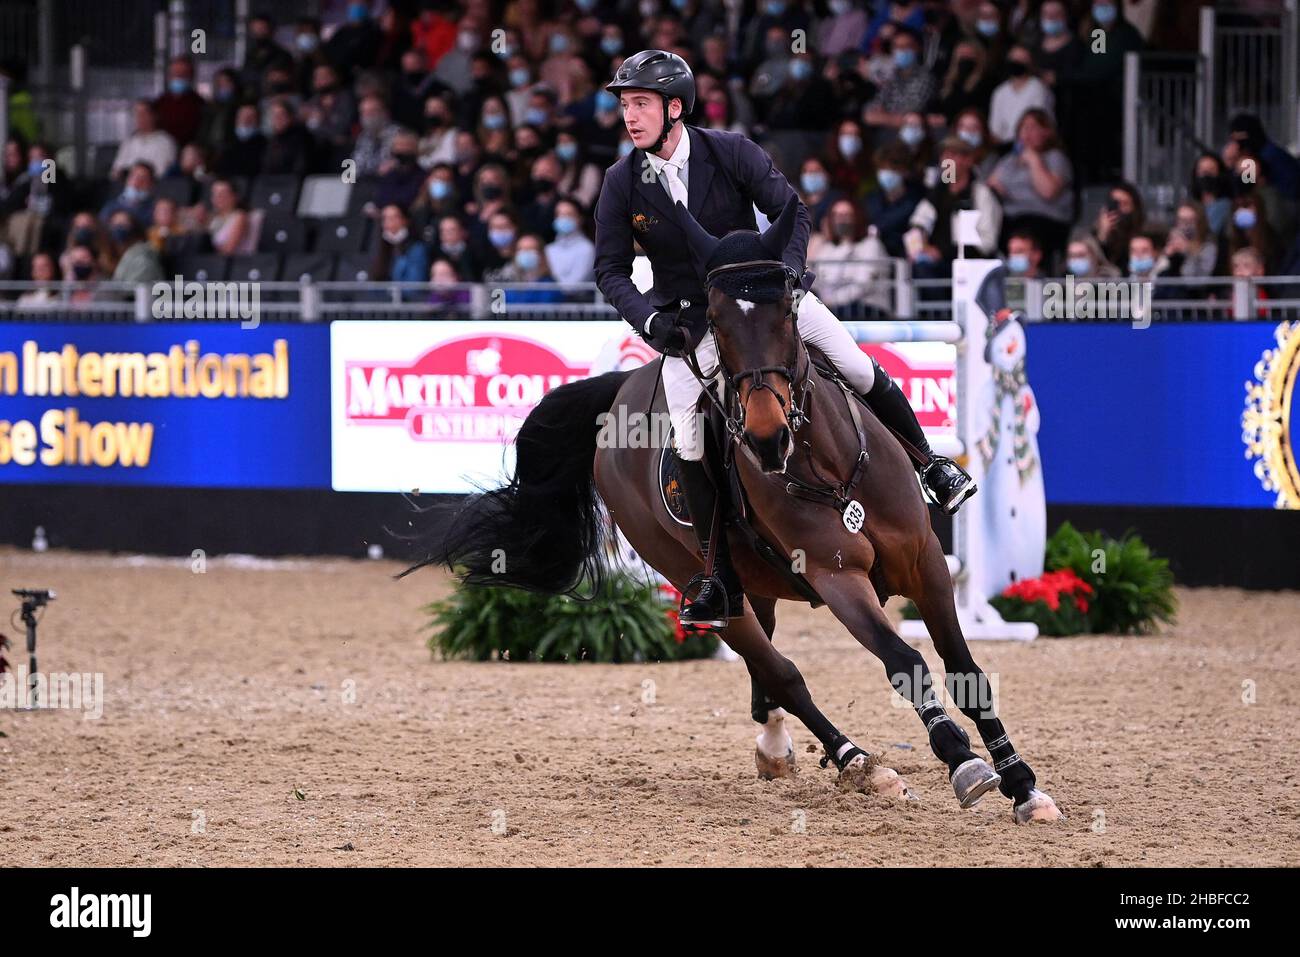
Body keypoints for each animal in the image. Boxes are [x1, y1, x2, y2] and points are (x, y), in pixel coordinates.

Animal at [410, 196, 1060, 821]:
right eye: (716, 322)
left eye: (788, 313)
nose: (768, 436)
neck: (827, 467)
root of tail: (618, 390)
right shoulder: (840, 581)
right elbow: (906, 661)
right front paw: (965, 765)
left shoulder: (925, 563)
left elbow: (965, 669)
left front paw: (1023, 786)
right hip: (697, 576)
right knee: (780, 671)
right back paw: (857, 763)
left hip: (755, 580)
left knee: (765, 675)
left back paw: (779, 746)